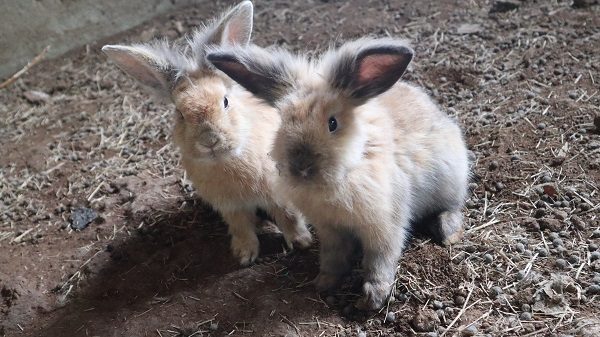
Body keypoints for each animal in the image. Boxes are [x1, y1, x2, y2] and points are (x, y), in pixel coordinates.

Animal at [100, 1, 312, 266]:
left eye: (225, 101)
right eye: (180, 113)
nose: (209, 140)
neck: (225, 160)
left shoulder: (277, 193)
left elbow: (289, 215)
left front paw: (302, 242)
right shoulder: (230, 207)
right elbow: (241, 228)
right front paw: (244, 255)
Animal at [209, 37, 472, 310]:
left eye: (332, 123)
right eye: (283, 122)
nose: (301, 166)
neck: (346, 171)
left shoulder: (384, 227)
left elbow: (380, 260)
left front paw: (372, 298)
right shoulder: (330, 230)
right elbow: (333, 258)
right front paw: (324, 283)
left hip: (451, 180)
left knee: (451, 208)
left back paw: (449, 233)